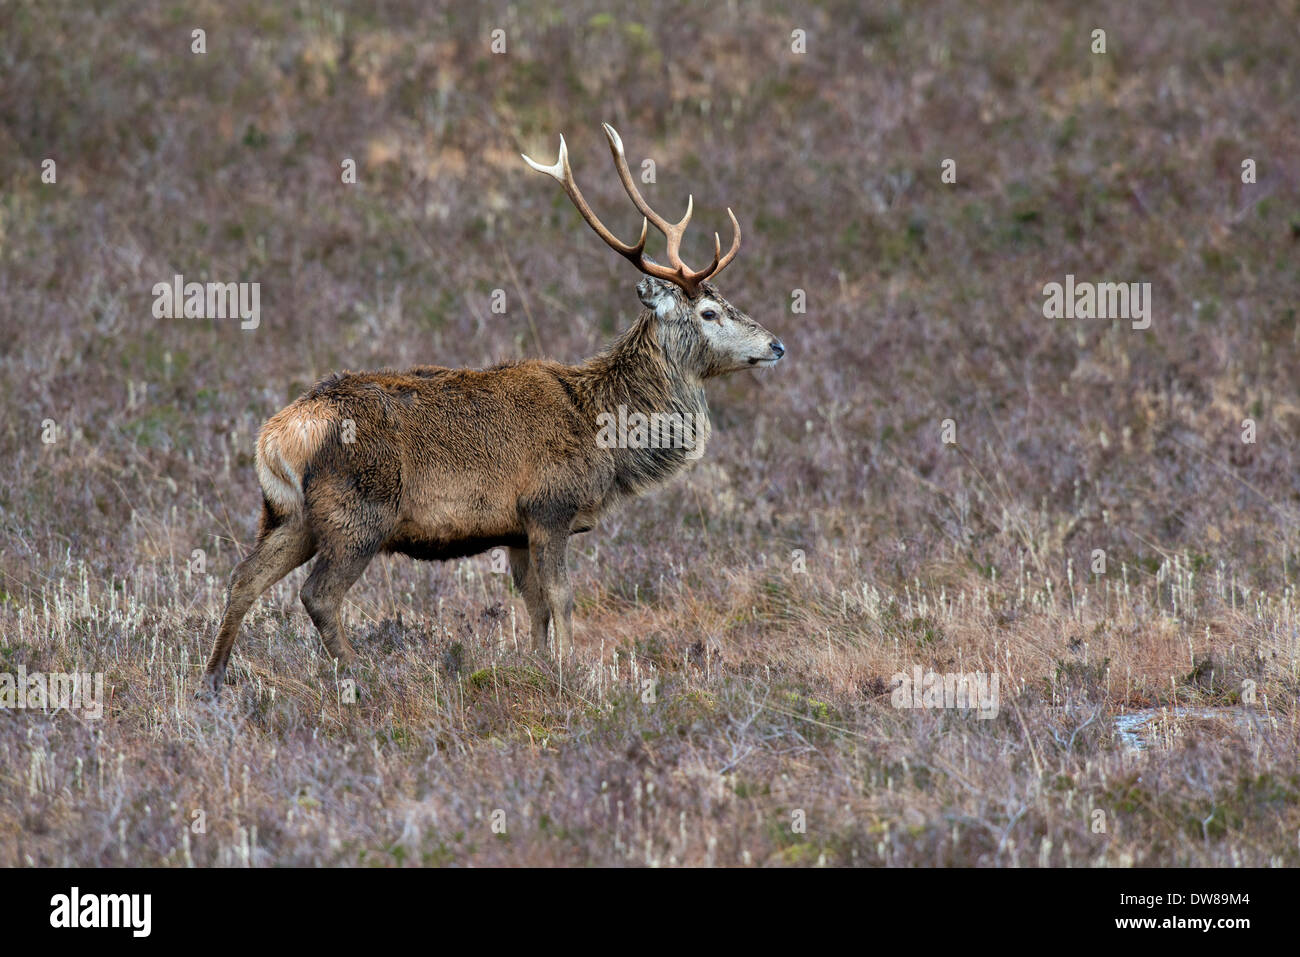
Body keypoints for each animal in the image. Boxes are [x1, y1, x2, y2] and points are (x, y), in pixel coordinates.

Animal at [199, 124, 785, 697]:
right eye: (708, 312)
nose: (777, 345)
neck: (606, 434)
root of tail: (275, 438)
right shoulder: (550, 505)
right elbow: (562, 597)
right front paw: (571, 674)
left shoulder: (515, 528)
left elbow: (534, 605)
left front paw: (538, 666)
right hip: (357, 512)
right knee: (317, 595)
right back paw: (362, 679)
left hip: (288, 514)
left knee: (244, 577)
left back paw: (214, 680)